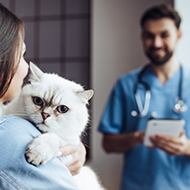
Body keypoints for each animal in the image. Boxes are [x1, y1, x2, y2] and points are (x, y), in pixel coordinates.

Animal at [1, 62, 104, 190]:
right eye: (38, 101)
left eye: (63, 109)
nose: (45, 115)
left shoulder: (69, 146)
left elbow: (53, 138)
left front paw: (36, 154)